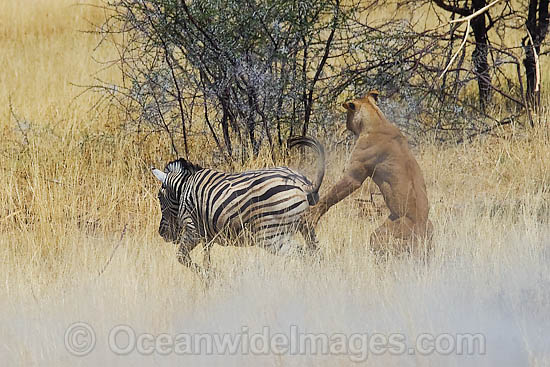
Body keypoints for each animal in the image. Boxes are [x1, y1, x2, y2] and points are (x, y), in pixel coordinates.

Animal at [151, 137, 326, 274]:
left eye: (159, 198)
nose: (161, 233)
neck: (184, 189)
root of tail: (303, 184)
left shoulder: (192, 229)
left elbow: (181, 257)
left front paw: (212, 276)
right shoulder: (207, 235)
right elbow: (206, 259)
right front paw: (209, 278)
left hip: (270, 235)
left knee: (302, 254)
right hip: (306, 226)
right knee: (316, 254)